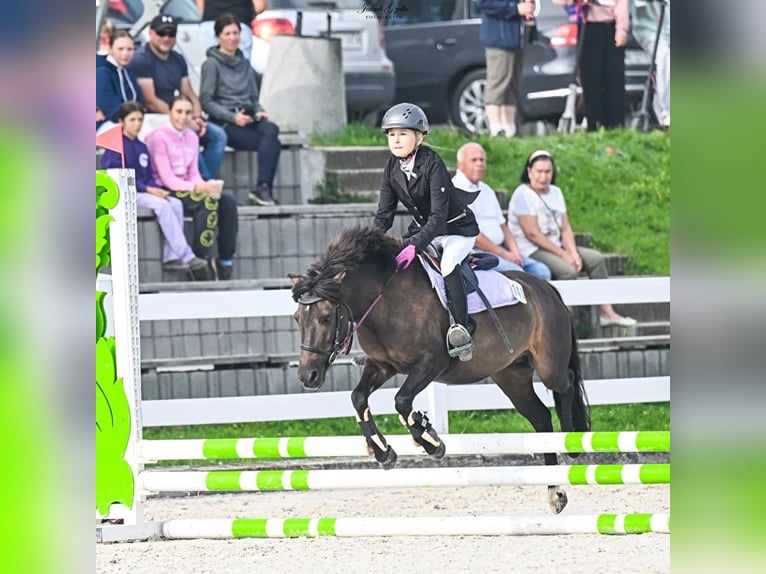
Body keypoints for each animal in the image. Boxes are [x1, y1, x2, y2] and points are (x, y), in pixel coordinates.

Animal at [292, 227, 592, 516]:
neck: (385, 299)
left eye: (326, 317)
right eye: (297, 319)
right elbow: (358, 398)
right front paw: (383, 451)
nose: (308, 376)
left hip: (548, 365)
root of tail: (547, 288)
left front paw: (431, 441)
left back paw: (572, 444)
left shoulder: (432, 363)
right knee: (541, 418)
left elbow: (401, 401)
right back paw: (555, 492)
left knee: (566, 384)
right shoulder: (382, 365)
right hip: (511, 376)